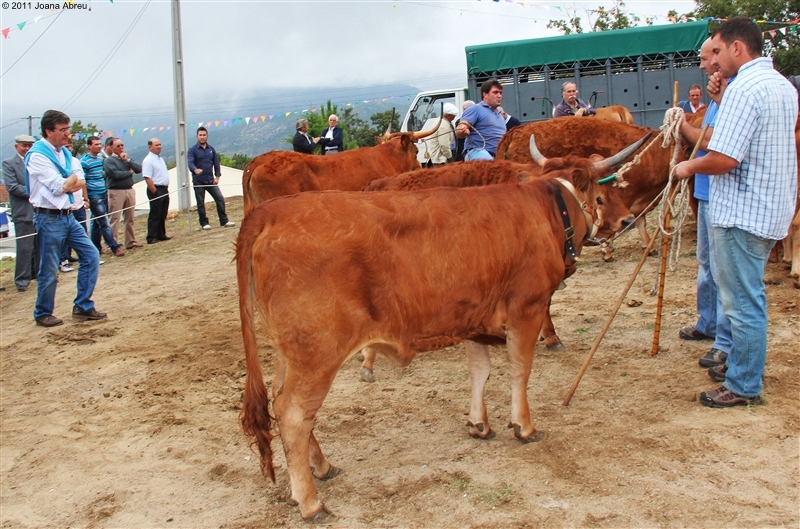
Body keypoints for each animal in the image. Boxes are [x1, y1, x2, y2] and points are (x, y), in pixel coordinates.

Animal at [238, 146, 644, 516]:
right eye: (601, 194)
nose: (628, 219)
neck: (545, 209)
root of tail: (271, 212)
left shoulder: (473, 318)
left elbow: (480, 371)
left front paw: (479, 424)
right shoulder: (526, 309)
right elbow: (520, 370)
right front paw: (524, 426)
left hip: (290, 353)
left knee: (280, 401)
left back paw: (322, 466)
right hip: (317, 354)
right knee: (293, 413)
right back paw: (311, 502)